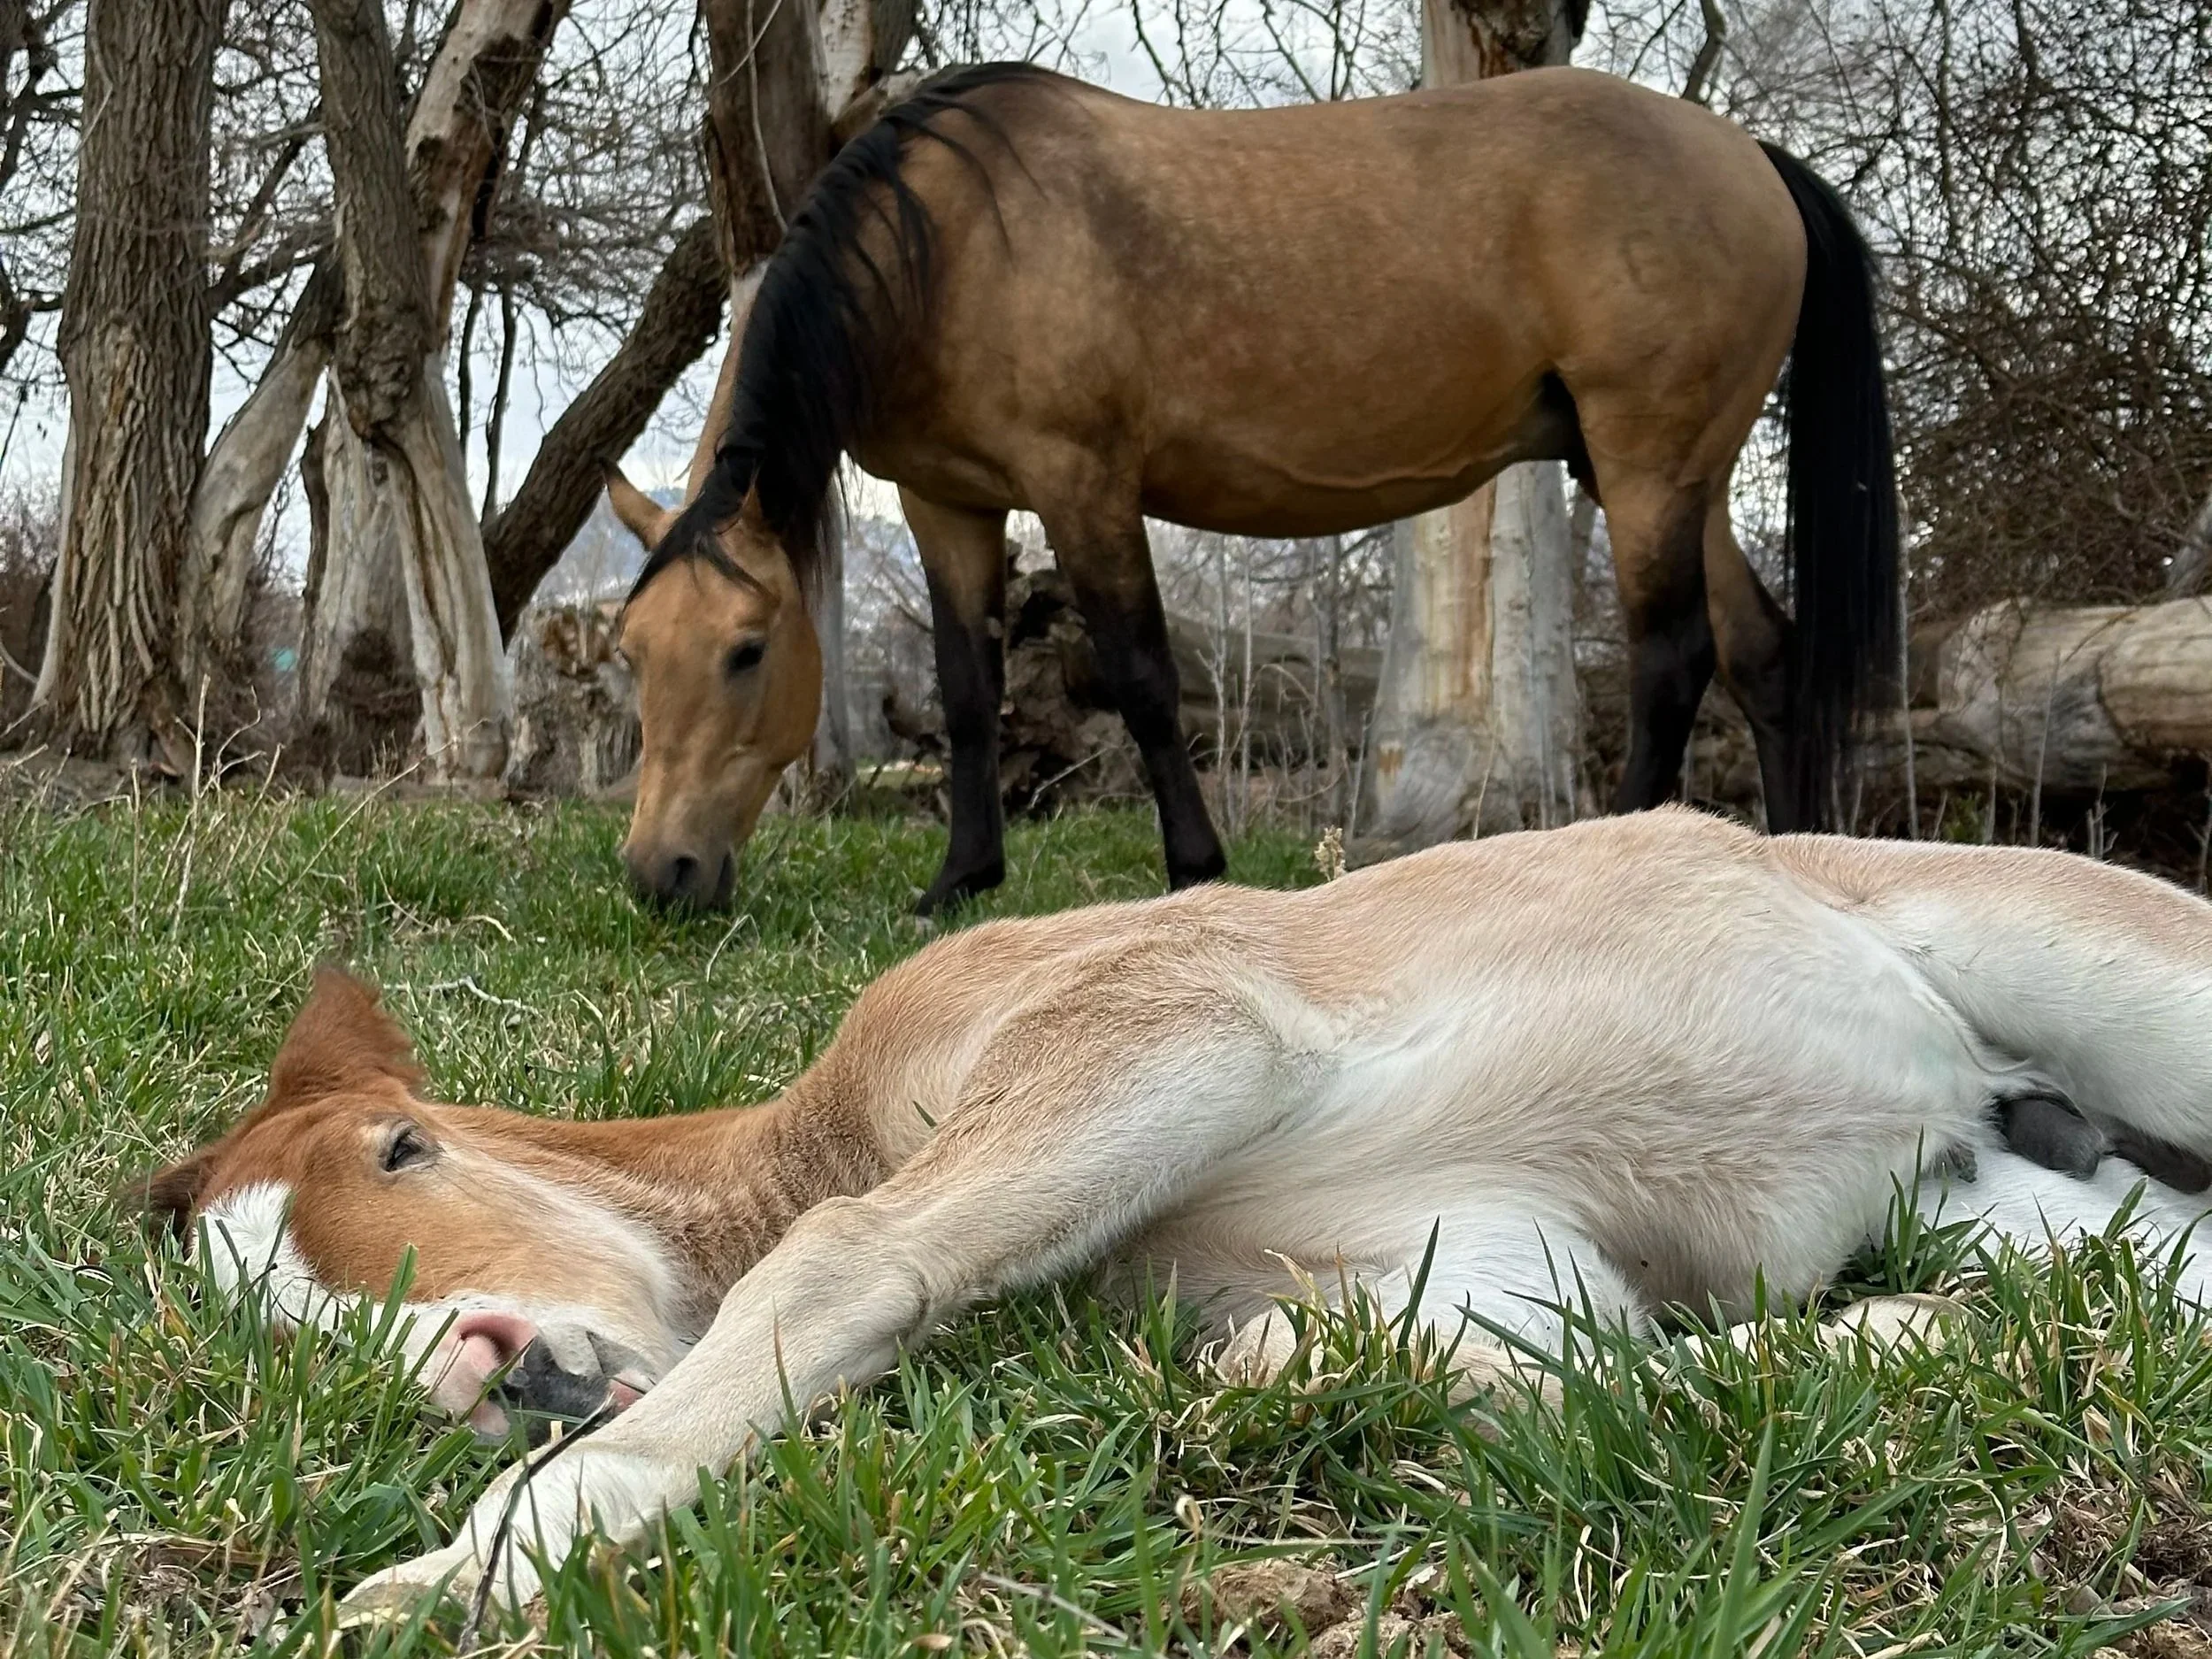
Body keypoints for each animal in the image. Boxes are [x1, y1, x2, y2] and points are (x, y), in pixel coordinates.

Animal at [149, 807, 2212, 1615]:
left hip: (2117, 969)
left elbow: (848, 1255)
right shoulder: (1483, 1262)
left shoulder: (1168, 1021)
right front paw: (1841, 1351)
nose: (482, 1365)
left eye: (401, 1147)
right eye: (272, 1322)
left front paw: (465, 1567)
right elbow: (1378, 1365)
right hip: (2038, 1203)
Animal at [605, 62, 1899, 914]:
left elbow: (1141, 678)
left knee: (1672, 660)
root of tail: (1750, 156)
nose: (660, 875)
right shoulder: (949, 504)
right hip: (1679, 474)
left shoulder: (1083, 483)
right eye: (633, 652)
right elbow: (968, 694)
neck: (948, 243)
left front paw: (1193, 868)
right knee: (1764, 654)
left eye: (746, 651)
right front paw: (960, 880)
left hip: (1643, 465)